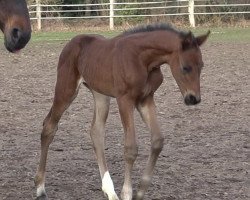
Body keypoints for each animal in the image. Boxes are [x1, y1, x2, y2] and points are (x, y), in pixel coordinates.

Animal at [33, 23, 209, 200]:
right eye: (185, 67)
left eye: (201, 66)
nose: (193, 98)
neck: (143, 60)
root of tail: (72, 42)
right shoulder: (125, 99)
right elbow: (131, 148)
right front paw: (127, 193)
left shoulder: (146, 99)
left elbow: (157, 141)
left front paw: (139, 192)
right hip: (67, 89)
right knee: (49, 127)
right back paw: (40, 187)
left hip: (100, 95)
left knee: (96, 132)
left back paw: (109, 191)